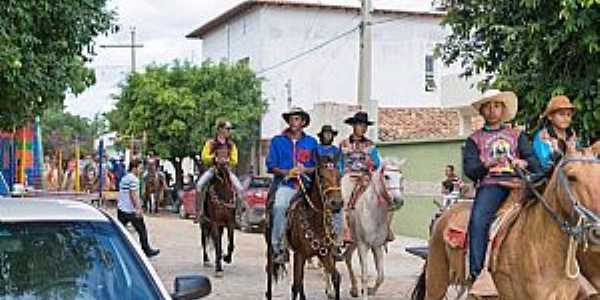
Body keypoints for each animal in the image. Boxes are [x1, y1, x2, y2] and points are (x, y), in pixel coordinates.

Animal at [266, 156, 344, 300]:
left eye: (339, 175)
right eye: (321, 176)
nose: (336, 203)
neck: (315, 221)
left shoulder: (324, 254)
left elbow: (336, 277)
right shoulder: (299, 254)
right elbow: (295, 286)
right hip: (271, 247)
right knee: (270, 271)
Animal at [340, 158, 406, 298]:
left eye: (401, 177)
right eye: (386, 176)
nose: (398, 200)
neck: (372, 212)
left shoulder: (377, 245)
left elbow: (381, 276)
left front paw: (371, 290)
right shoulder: (363, 245)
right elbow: (364, 275)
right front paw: (365, 294)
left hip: (353, 241)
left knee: (347, 257)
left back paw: (354, 289)